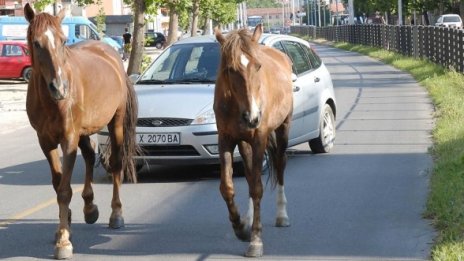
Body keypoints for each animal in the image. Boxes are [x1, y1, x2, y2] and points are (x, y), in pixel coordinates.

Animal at [23, 3, 139, 258]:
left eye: (63, 40)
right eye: (36, 43)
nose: (60, 87)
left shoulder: (68, 139)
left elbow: (65, 190)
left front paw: (63, 242)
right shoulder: (45, 141)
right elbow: (58, 184)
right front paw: (64, 227)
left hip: (114, 124)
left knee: (115, 163)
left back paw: (116, 214)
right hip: (84, 131)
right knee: (88, 155)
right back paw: (90, 207)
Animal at [215, 24, 294, 256]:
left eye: (258, 66)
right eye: (230, 70)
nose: (252, 117)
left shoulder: (259, 139)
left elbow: (257, 188)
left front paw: (256, 240)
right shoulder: (225, 139)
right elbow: (228, 186)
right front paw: (240, 226)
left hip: (283, 128)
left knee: (280, 163)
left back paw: (282, 215)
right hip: (244, 142)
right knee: (250, 174)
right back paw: (248, 220)